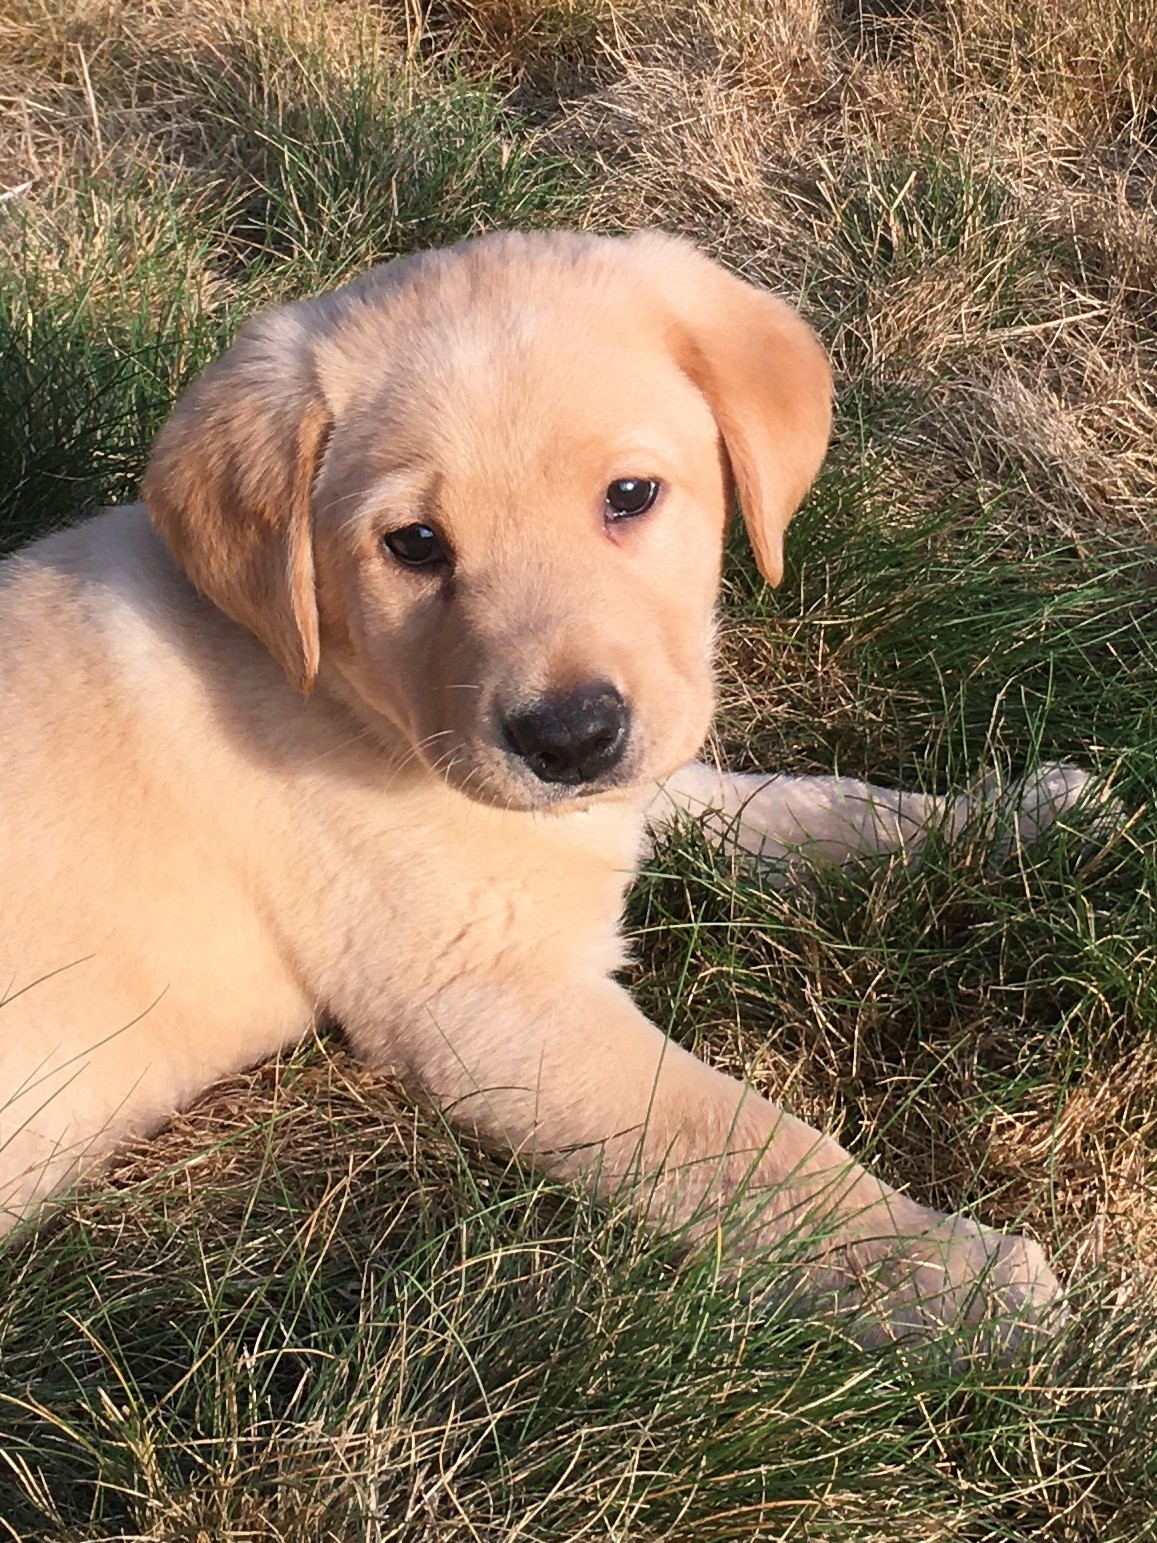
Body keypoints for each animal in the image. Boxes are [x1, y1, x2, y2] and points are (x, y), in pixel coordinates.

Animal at [0, 231, 1079, 1351]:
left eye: (631, 495)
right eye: (413, 544)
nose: (570, 739)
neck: (345, 689)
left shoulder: (621, 788)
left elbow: (806, 803)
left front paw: (1013, 813)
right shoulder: (494, 1004)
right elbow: (748, 1145)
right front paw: (947, 1273)